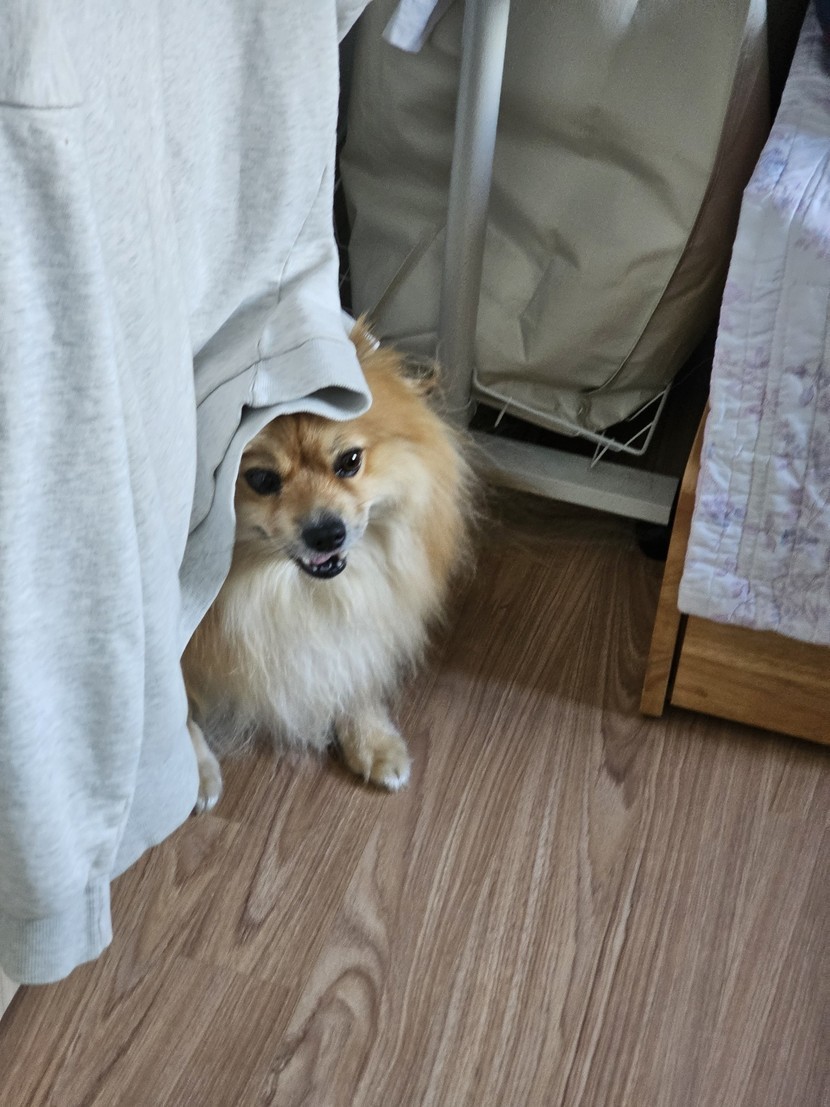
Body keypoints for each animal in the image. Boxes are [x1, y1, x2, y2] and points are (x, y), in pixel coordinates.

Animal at [182, 321, 473, 811]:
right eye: (261, 480)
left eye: (349, 461)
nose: (326, 533)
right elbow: (176, 705)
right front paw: (192, 772)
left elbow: (350, 667)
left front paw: (372, 738)